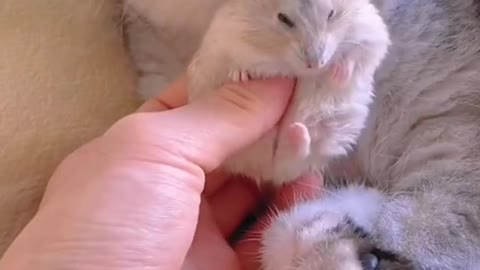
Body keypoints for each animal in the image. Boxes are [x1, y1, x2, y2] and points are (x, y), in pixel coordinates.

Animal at [186, 0, 392, 186]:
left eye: (331, 14)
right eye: (283, 19)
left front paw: (338, 76)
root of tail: (268, 173)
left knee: (297, 157)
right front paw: (241, 77)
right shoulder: (225, 35)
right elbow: (232, 61)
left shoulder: (372, 32)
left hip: (329, 136)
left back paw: (297, 130)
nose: (316, 65)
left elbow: (358, 55)